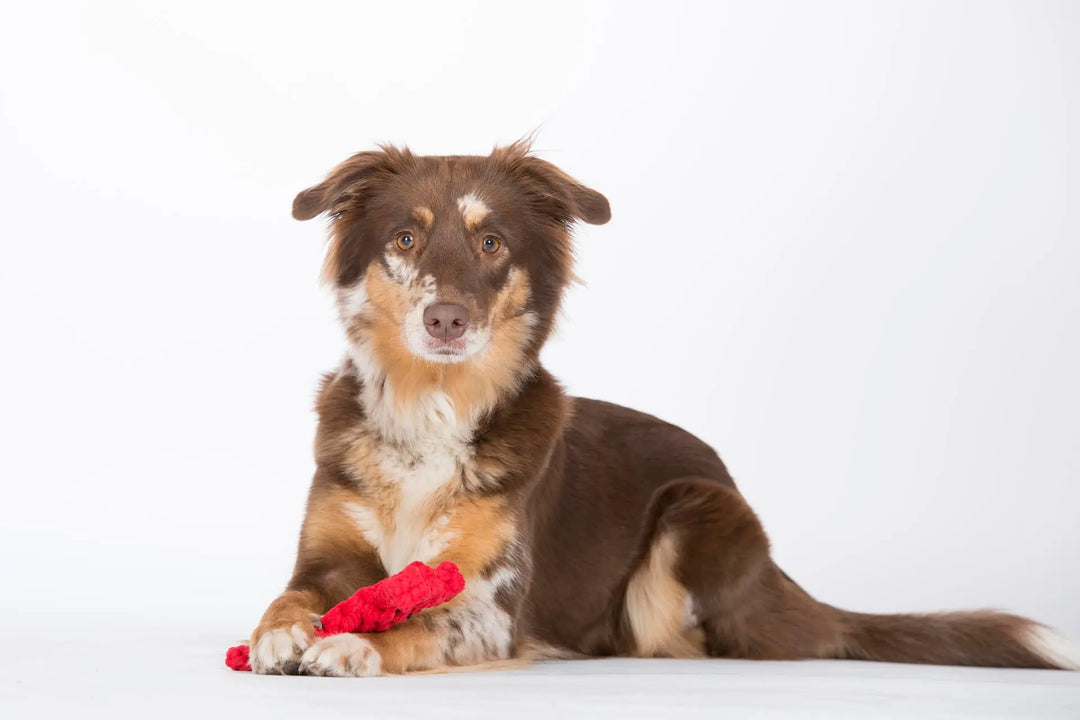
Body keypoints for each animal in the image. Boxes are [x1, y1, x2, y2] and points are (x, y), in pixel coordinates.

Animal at [247, 140, 1080, 677]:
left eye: (491, 243)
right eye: (404, 238)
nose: (446, 319)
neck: (433, 408)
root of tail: (780, 581)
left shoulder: (488, 606)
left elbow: (422, 618)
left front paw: (354, 644)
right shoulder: (326, 555)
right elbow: (291, 594)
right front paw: (279, 634)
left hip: (694, 512)